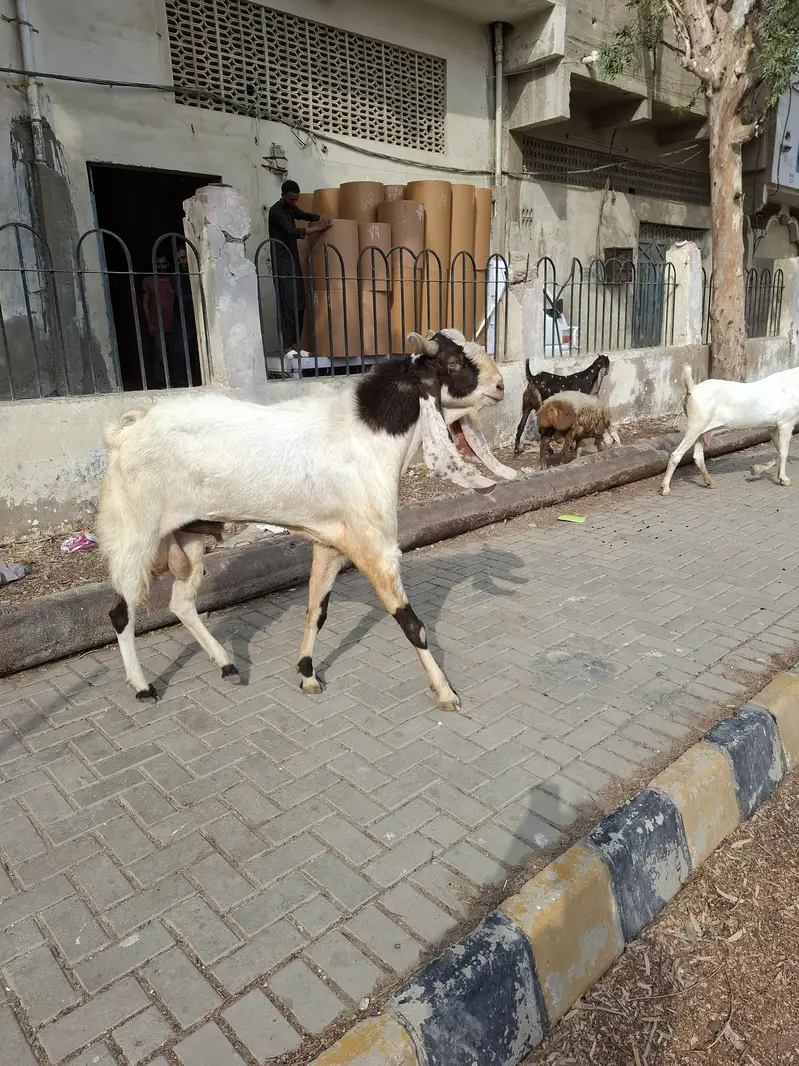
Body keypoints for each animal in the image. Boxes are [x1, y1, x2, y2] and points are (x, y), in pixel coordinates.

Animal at [97, 329, 516, 713]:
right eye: (453, 362)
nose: (500, 386)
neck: (367, 431)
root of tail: (128, 426)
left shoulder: (329, 542)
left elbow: (317, 611)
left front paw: (307, 674)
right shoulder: (375, 547)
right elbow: (412, 623)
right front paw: (446, 692)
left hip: (188, 536)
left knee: (181, 603)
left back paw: (227, 664)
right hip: (135, 534)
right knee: (120, 612)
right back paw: (143, 686)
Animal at [661, 364, 799, 495]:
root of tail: (692, 390)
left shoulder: (772, 427)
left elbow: (779, 451)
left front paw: (757, 469)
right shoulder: (786, 424)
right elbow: (784, 452)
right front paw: (784, 479)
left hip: (702, 431)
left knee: (698, 456)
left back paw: (709, 482)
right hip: (695, 426)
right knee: (676, 455)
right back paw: (665, 488)